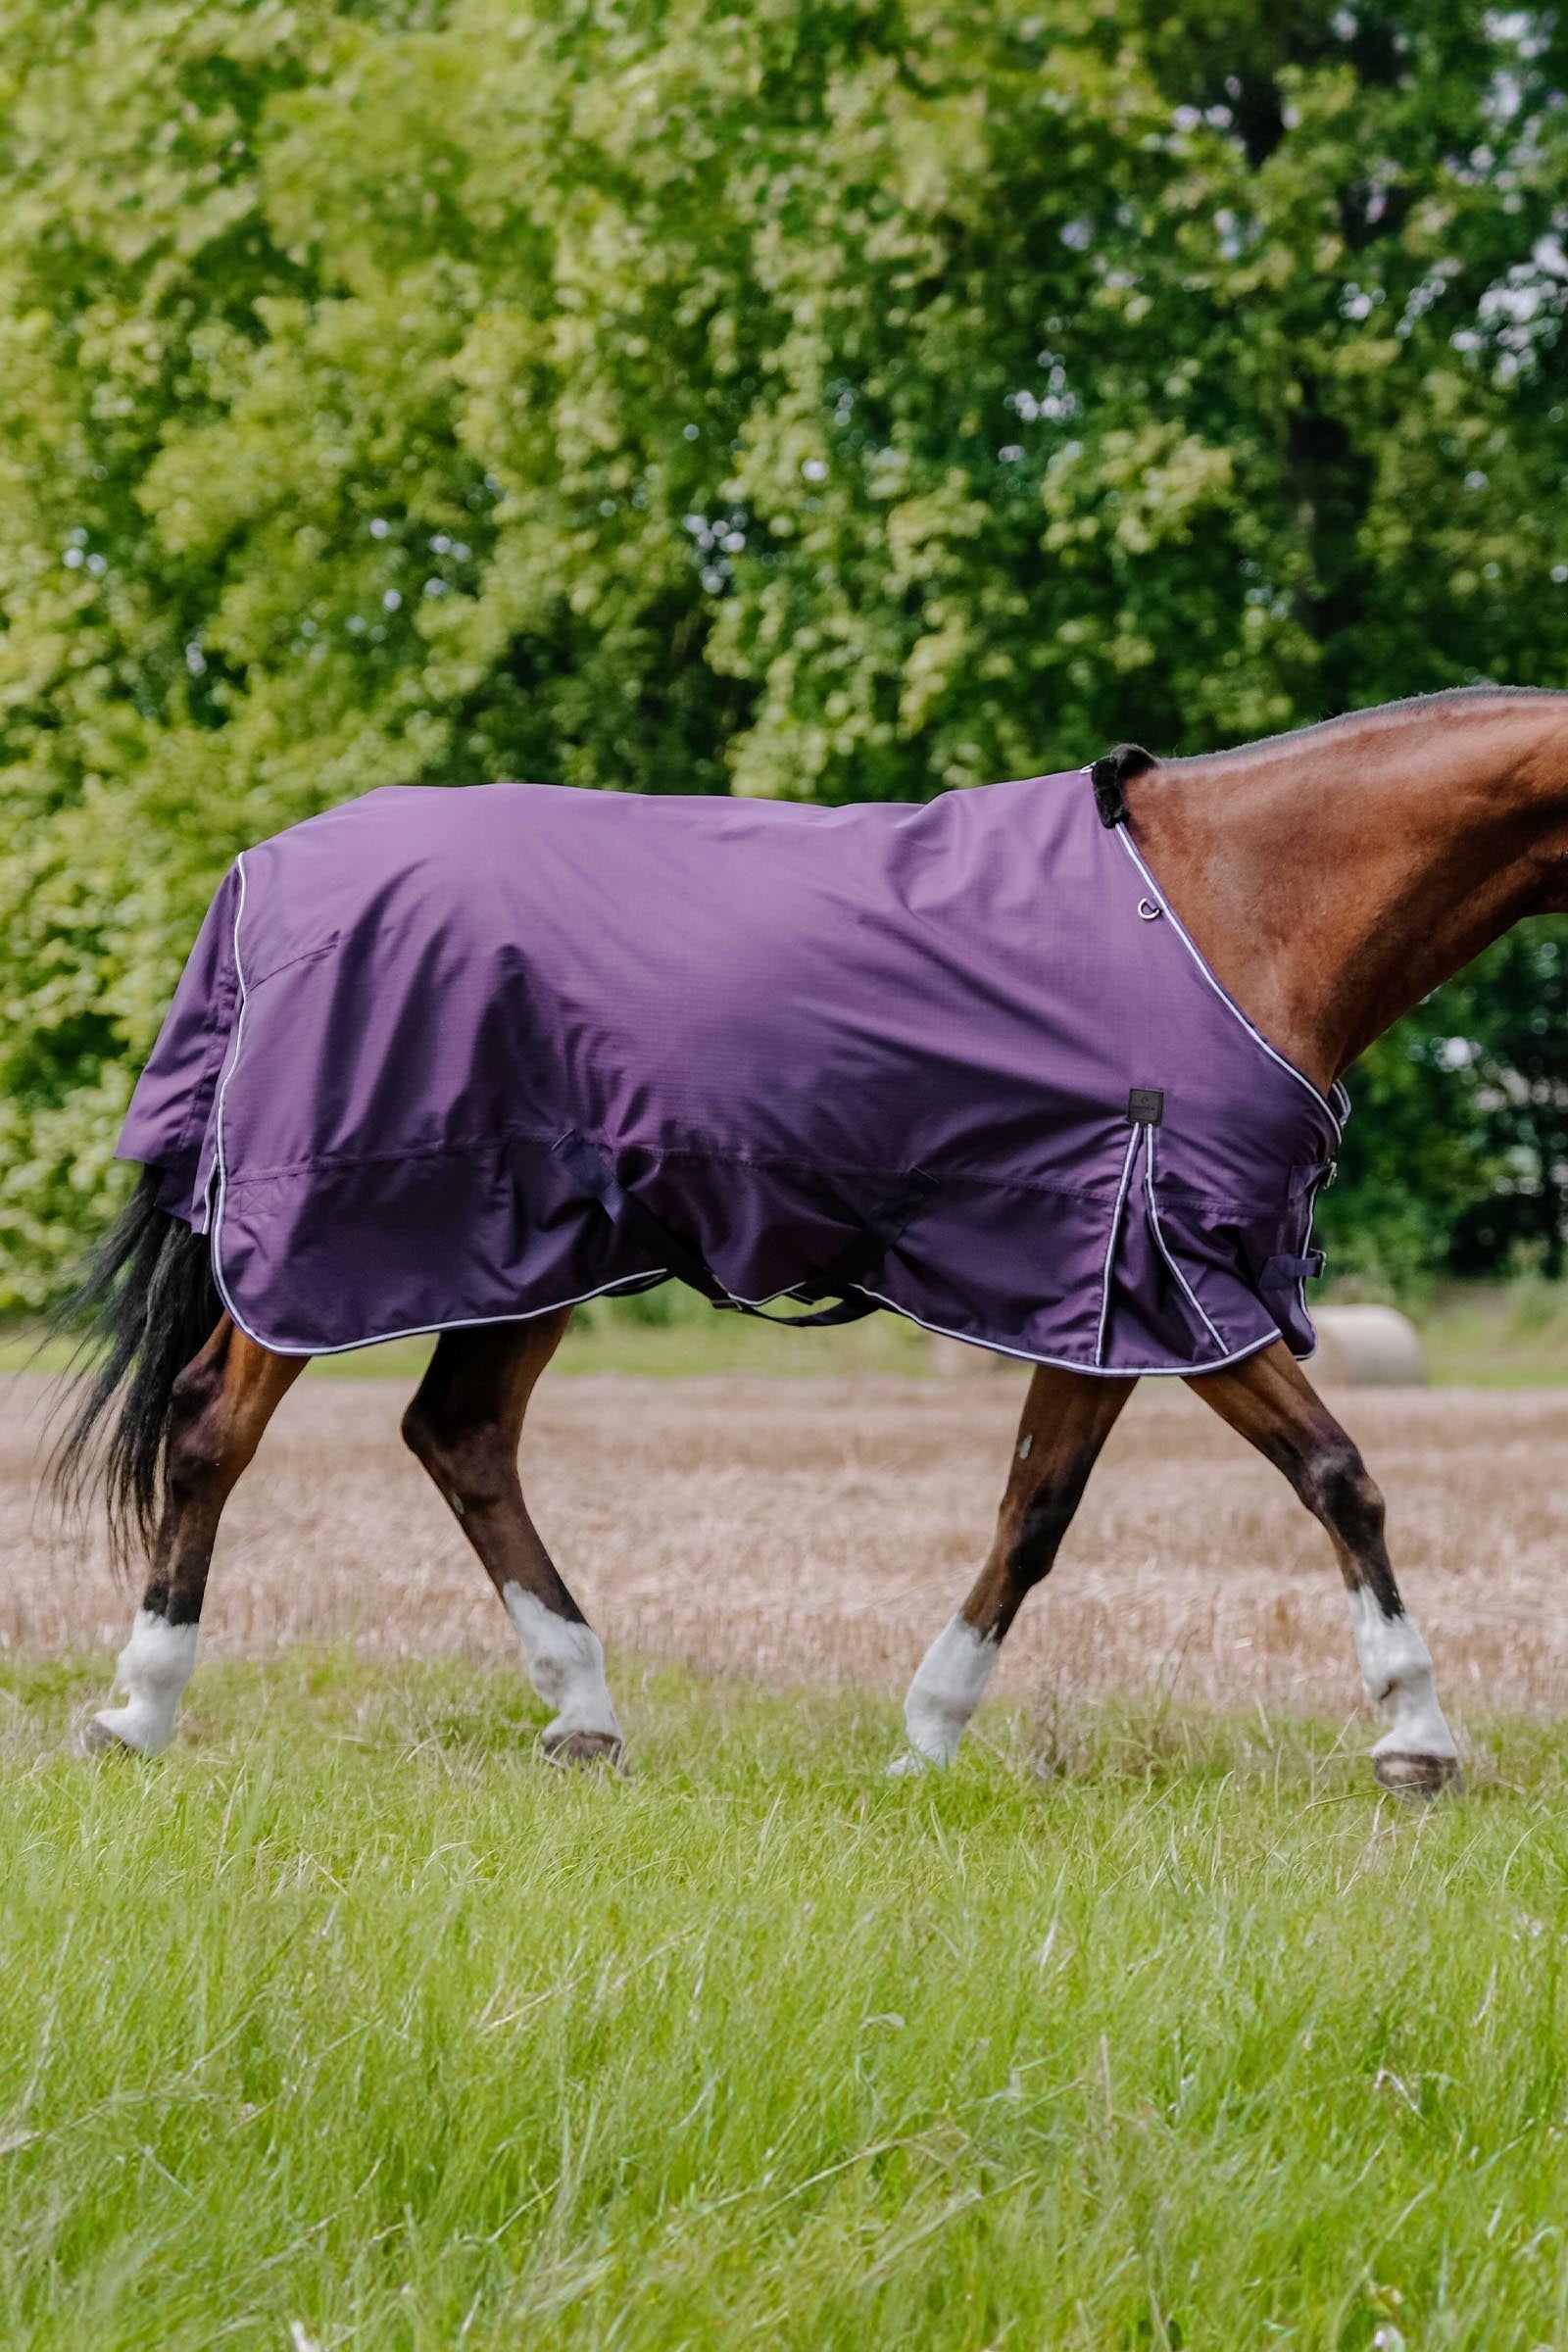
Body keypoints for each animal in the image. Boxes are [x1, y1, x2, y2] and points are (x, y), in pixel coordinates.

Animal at [53, 686, 1568, 1791]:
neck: (1234, 903)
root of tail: (265, 875)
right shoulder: (1176, 1277)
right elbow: (1337, 1475)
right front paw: (1415, 1733)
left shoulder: (1101, 1287)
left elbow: (1034, 1511)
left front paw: (930, 1735)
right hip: (334, 1237)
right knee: (211, 1426)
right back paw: (142, 1708)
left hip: (528, 1246)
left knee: (461, 1435)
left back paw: (583, 1710)